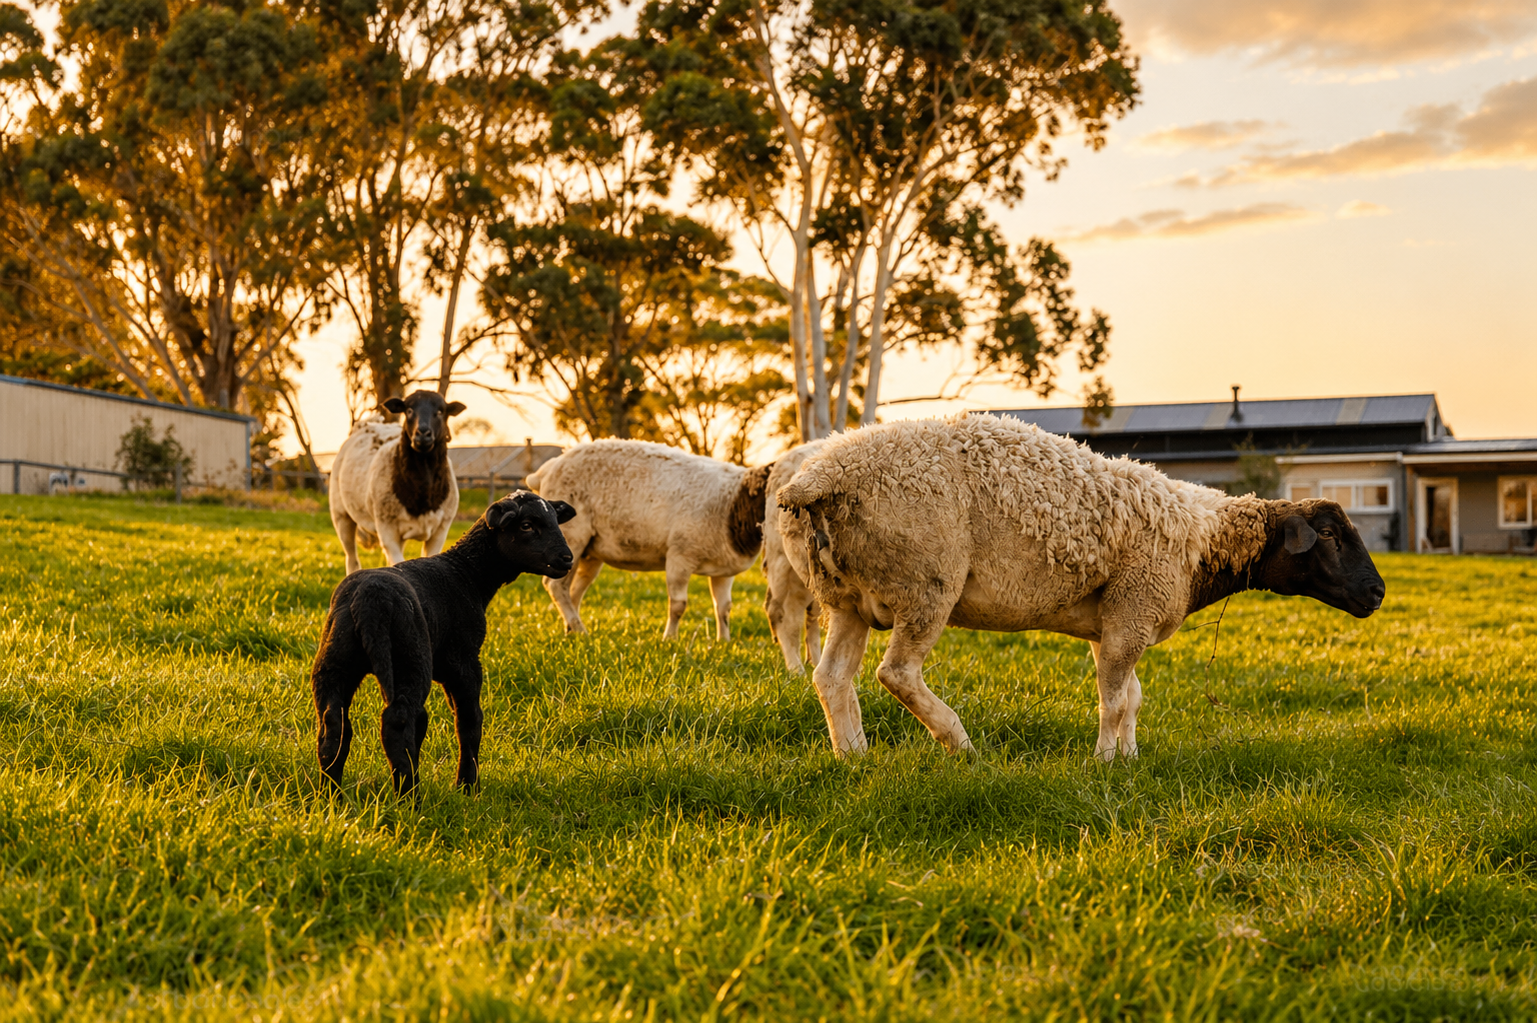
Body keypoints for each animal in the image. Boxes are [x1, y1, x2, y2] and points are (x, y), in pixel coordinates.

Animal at [310, 491, 576, 794]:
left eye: (555, 520)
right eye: (526, 525)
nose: (567, 558)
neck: (468, 574)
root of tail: (369, 598)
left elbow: (429, 722)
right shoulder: (465, 661)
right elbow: (469, 720)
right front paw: (467, 785)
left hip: (334, 661)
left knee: (334, 723)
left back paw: (331, 793)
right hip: (410, 659)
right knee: (398, 721)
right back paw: (409, 796)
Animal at [329, 391, 465, 574]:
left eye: (440, 411)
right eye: (409, 410)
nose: (423, 434)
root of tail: (366, 424)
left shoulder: (440, 532)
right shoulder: (387, 532)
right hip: (341, 515)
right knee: (352, 559)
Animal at [527, 440, 772, 639]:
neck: (733, 502)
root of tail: (547, 469)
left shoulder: (723, 570)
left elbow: (724, 608)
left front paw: (724, 642)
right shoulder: (679, 556)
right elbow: (679, 605)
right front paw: (670, 639)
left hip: (590, 551)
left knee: (573, 590)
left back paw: (572, 631)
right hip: (571, 536)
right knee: (556, 586)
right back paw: (581, 631)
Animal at [775, 413, 1386, 761]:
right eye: (1328, 534)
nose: (1378, 594)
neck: (1201, 539)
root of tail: (818, 478)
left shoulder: (1115, 621)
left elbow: (1132, 697)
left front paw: (1130, 758)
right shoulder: (1134, 610)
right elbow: (1113, 702)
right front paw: (1104, 763)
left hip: (844, 598)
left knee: (832, 679)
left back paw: (854, 757)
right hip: (927, 581)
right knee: (896, 673)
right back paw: (961, 745)